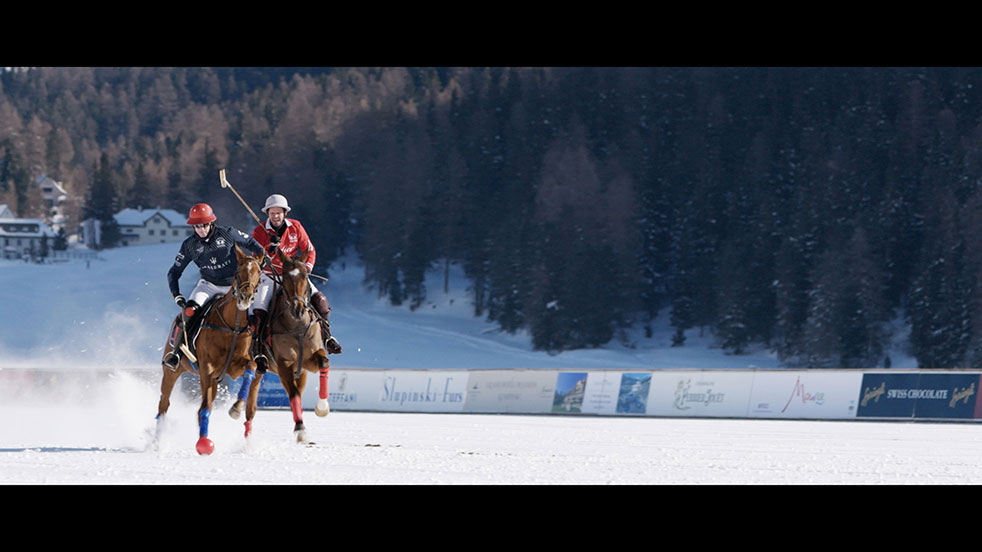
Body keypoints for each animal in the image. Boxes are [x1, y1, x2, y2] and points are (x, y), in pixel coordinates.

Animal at [155, 246, 264, 452]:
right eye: (238, 271)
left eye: (259, 274)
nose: (246, 297)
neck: (232, 326)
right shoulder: (207, 370)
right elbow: (205, 408)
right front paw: (204, 443)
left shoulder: (236, 367)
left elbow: (251, 367)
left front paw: (236, 407)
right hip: (171, 370)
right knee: (164, 405)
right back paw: (156, 440)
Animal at [233, 248, 332, 442]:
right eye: (285, 277)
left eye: (305, 276)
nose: (298, 308)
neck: (297, 325)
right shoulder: (284, 364)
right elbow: (293, 394)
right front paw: (300, 428)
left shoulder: (309, 359)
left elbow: (324, 363)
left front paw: (322, 408)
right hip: (256, 365)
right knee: (251, 403)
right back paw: (239, 412)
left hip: (296, 371)